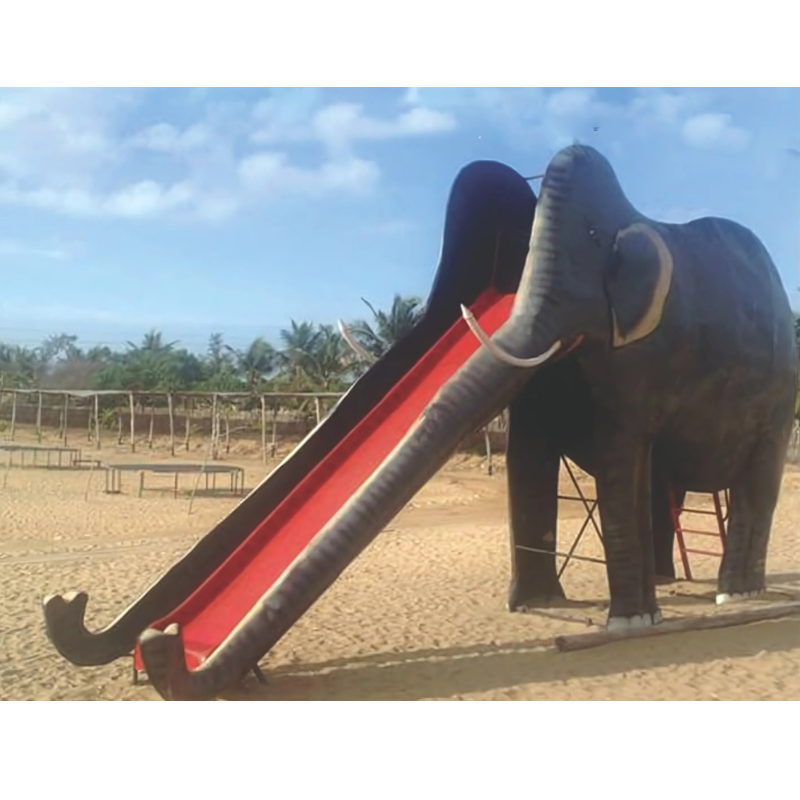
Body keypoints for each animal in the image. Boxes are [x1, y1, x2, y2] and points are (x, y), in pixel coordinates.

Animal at [463, 144, 797, 630]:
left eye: (592, 235)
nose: (469, 311)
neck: (633, 217)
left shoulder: (645, 356)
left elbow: (621, 456)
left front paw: (630, 623)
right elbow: (529, 454)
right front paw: (532, 605)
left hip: (779, 395)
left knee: (757, 481)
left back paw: (735, 594)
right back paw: (668, 579)